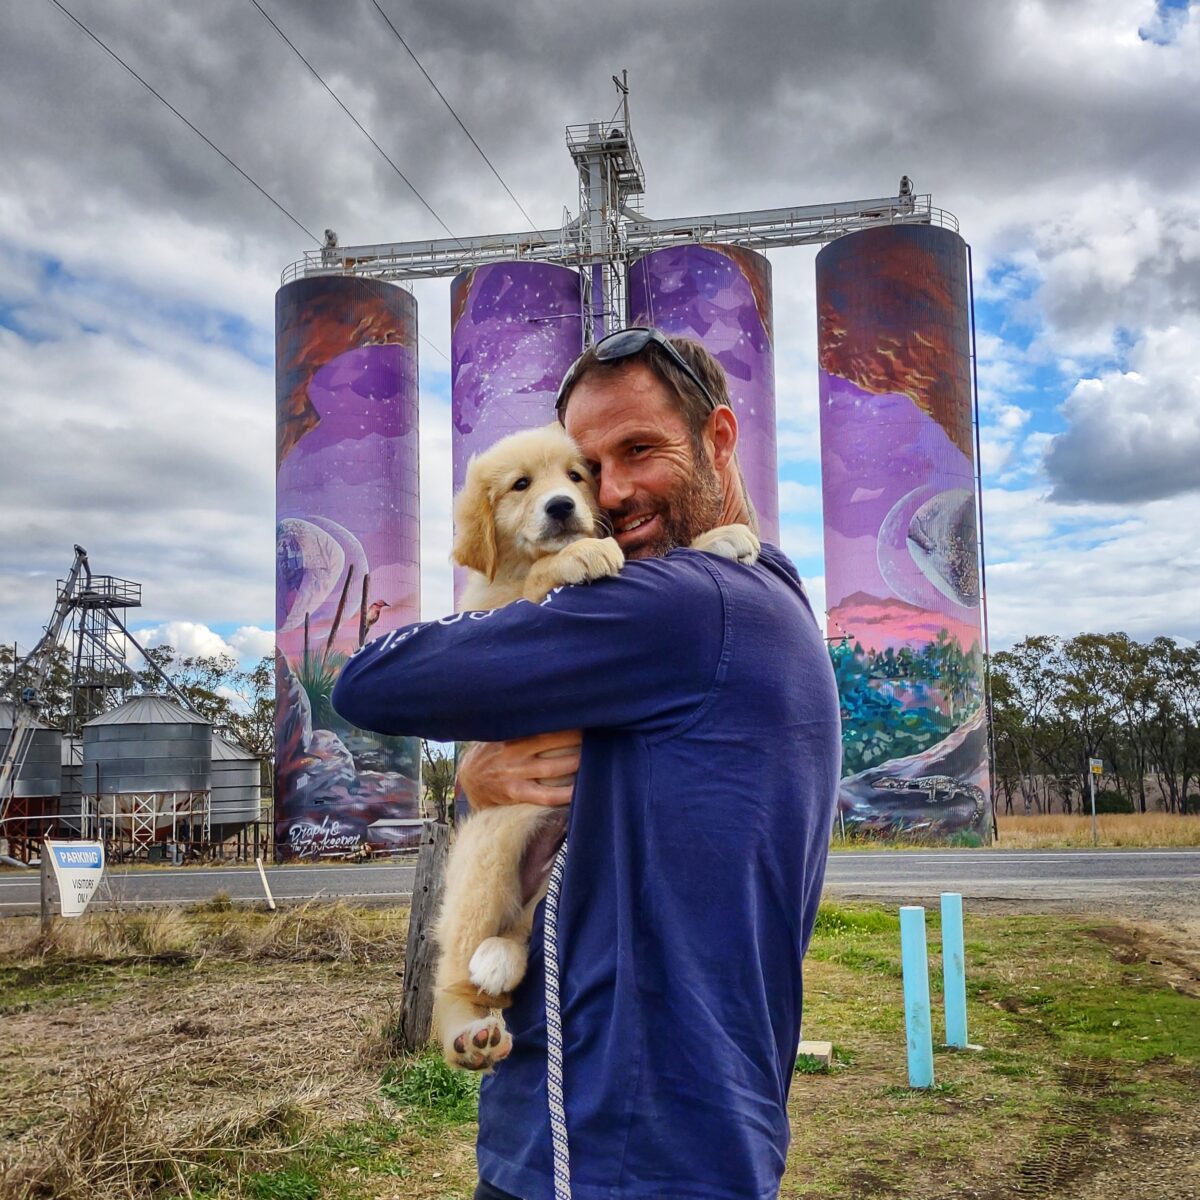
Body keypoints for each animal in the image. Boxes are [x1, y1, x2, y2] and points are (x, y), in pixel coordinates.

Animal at [434, 422, 758, 1070]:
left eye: (577, 476)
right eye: (521, 485)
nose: (562, 508)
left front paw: (723, 535)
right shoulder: (491, 613)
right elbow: (537, 586)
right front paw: (580, 556)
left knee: (514, 942)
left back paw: (500, 963)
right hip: (491, 845)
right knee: (453, 975)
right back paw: (468, 1035)